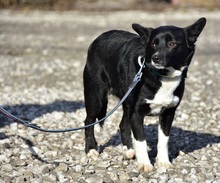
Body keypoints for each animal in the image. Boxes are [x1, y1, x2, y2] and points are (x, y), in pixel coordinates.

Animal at [83, 17, 206, 172]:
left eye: (172, 44)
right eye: (153, 44)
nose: (156, 58)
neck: (162, 75)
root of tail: (98, 38)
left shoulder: (168, 113)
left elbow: (163, 140)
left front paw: (163, 162)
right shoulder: (136, 113)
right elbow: (141, 140)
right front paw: (145, 164)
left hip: (126, 102)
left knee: (123, 125)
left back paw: (128, 150)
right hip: (95, 96)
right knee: (89, 121)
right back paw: (91, 150)